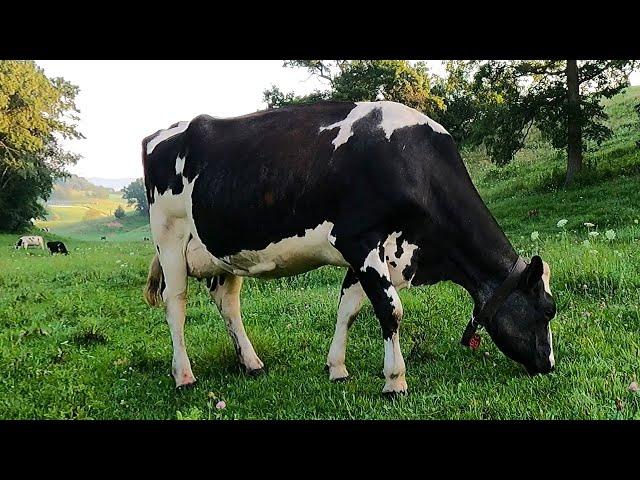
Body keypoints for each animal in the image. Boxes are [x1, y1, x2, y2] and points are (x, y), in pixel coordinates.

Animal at [140, 101, 556, 394]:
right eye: (547, 311)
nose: (549, 365)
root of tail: (161, 133)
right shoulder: (358, 239)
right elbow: (390, 311)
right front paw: (394, 381)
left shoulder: (370, 254)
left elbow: (349, 310)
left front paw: (337, 369)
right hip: (169, 237)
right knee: (175, 305)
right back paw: (184, 375)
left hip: (223, 252)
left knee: (227, 303)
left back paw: (252, 363)